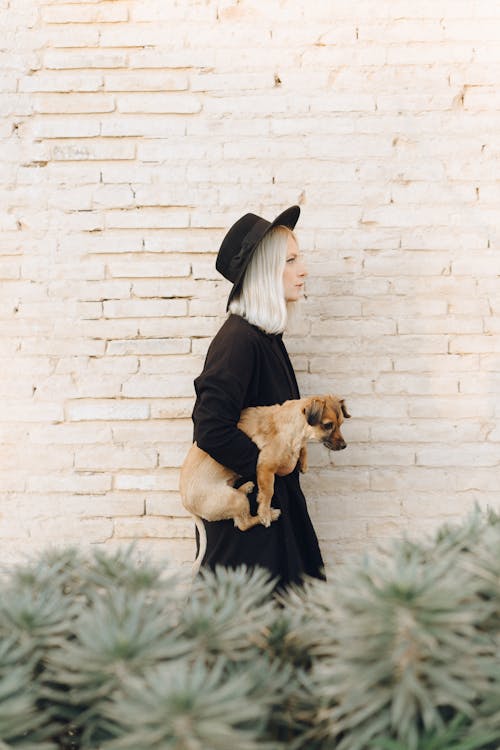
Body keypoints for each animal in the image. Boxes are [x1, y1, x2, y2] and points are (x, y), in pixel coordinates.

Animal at [181, 396, 352, 572]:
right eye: (328, 425)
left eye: (341, 423)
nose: (344, 445)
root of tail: (187, 505)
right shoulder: (266, 465)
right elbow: (268, 490)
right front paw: (264, 513)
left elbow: (302, 448)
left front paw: (303, 462)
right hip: (234, 500)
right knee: (243, 524)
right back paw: (271, 514)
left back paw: (246, 487)